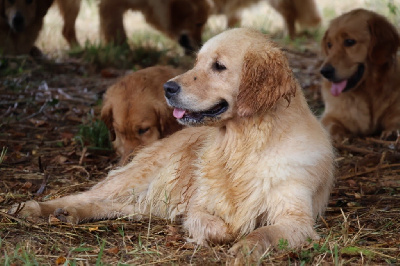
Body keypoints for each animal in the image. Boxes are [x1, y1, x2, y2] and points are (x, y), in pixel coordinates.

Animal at [318, 8, 400, 139]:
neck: (367, 92)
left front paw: (392, 131)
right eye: (329, 44)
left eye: (349, 41)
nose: (324, 72)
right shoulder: (330, 116)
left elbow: (395, 121)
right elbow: (331, 125)